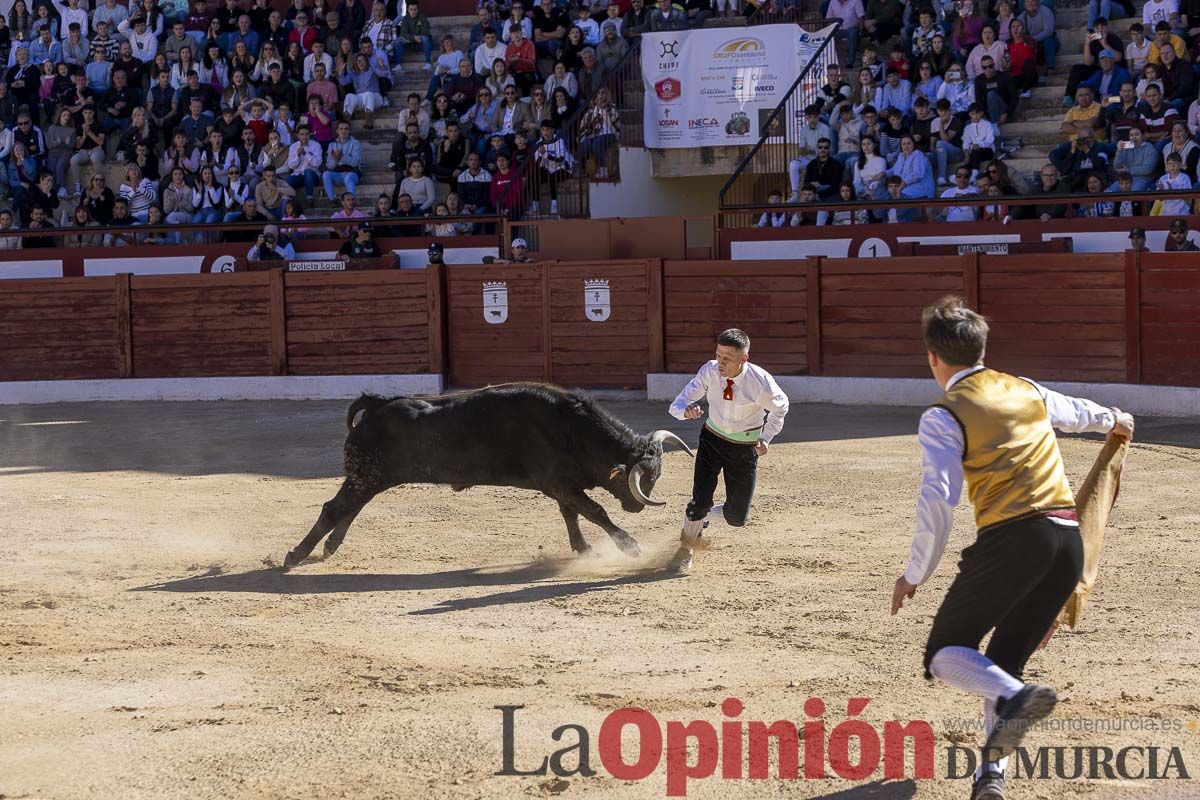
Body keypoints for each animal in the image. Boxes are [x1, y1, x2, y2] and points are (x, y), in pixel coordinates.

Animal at [283, 383, 696, 566]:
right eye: (644, 479)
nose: (637, 507)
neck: (571, 427)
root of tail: (378, 404)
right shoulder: (557, 482)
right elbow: (595, 512)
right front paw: (629, 545)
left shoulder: (561, 486)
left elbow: (572, 515)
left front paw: (583, 548)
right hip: (366, 476)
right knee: (334, 508)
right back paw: (294, 556)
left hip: (369, 478)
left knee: (347, 508)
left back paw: (328, 548)